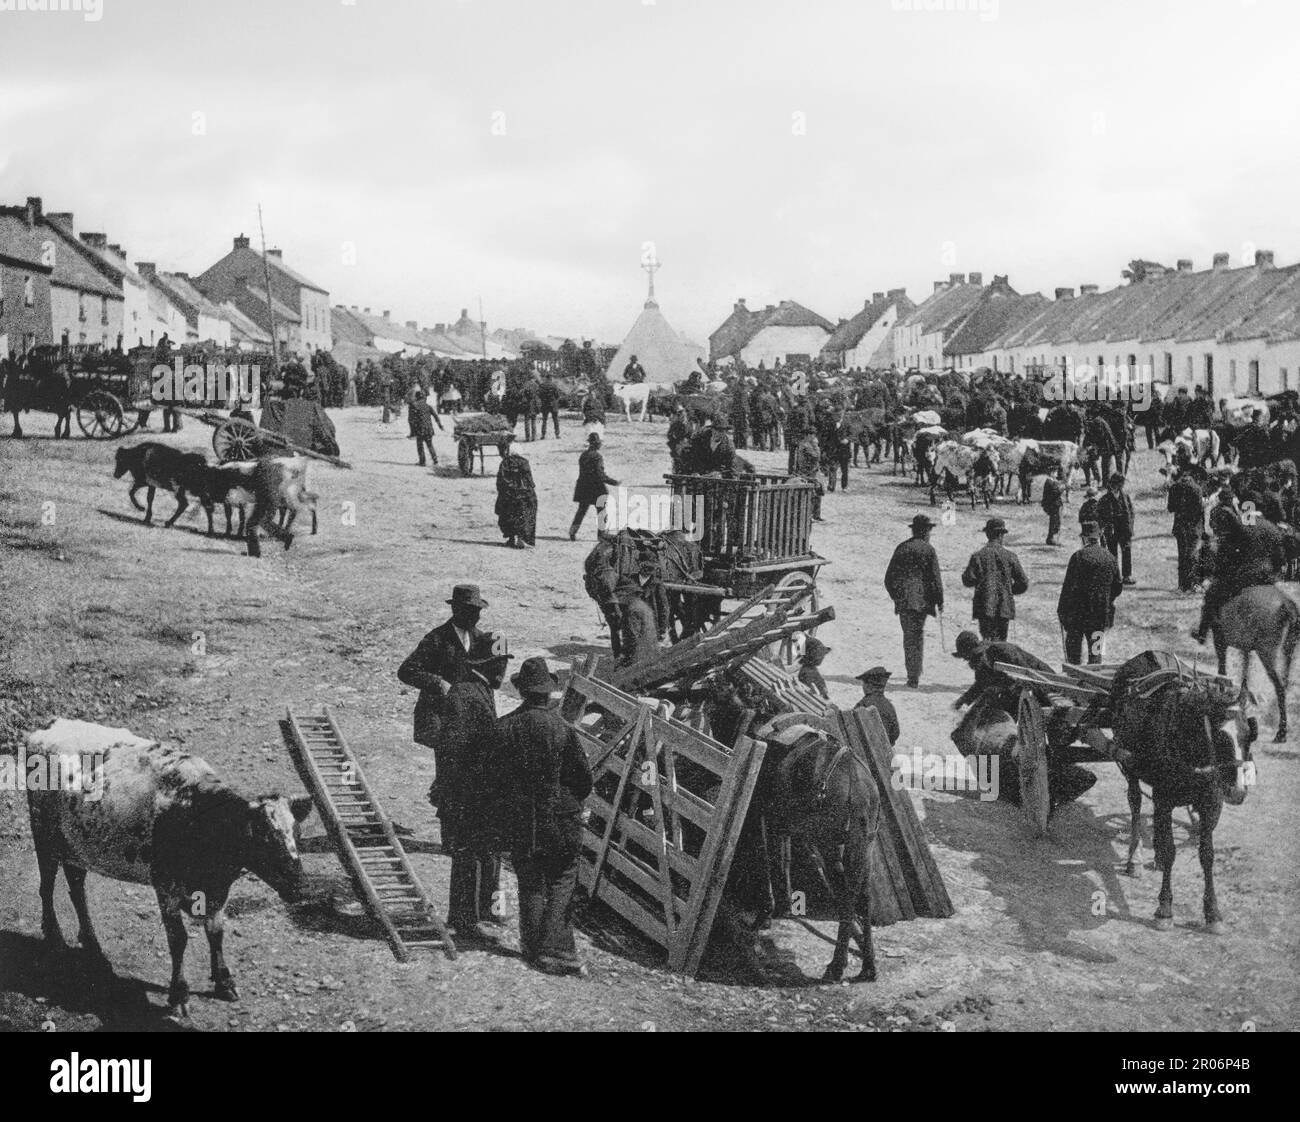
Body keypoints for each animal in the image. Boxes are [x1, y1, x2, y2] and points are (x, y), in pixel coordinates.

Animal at [26, 717, 312, 1024]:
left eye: (298, 833)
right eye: (263, 838)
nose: (301, 888)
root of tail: (52, 726)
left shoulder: (218, 889)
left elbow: (216, 932)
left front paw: (224, 982)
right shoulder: (166, 887)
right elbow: (179, 940)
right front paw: (179, 996)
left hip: (75, 845)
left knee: (77, 887)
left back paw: (91, 942)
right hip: (44, 835)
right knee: (46, 886)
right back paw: (55, 937)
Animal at [1112, 652, 1253, 936]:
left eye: (1248, 734)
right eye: (1219, 736)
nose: (1237, 791)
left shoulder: (1211, 803)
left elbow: (1206, 855)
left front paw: (1213, 913)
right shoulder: (1165, 797)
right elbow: (1170, 851)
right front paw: (1164, 909)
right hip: (1130, 767)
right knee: (1135, 806)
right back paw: (1134, 859)